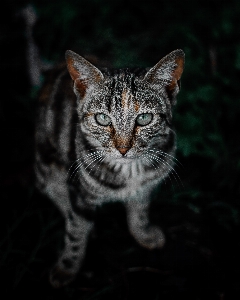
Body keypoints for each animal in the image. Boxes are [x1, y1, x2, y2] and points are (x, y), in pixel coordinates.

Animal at [34, 48, 184, 288]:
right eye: (102, 118)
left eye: (144, 118)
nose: (123, 148)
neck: (130, 171)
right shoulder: (78, 188)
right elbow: (76, 231)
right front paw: (67, 267)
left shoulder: (145, 186)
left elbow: (140, 210)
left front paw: (144, 233)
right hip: (45, 165)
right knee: (58, 196)